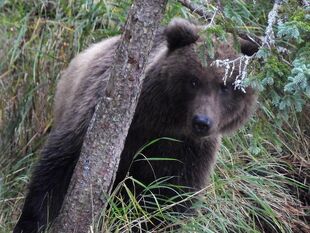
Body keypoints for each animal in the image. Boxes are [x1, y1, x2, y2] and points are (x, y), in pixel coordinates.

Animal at [13, 18, 258, 233]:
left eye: (225, 86)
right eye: (194, 80)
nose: (202, 122)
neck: (165, 121)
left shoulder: (189, 152)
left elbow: (173, 200)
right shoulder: (107, 116)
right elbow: (59, 165)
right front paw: (31, 222)